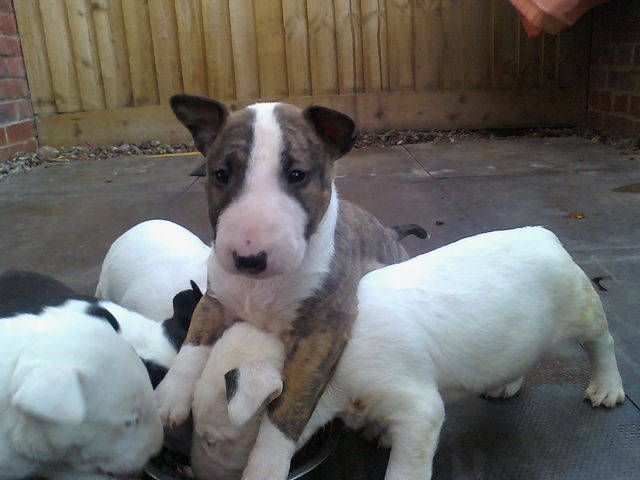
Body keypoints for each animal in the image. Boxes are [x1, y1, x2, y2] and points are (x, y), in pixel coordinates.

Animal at [152, 95, 408, 478]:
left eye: (297, 175)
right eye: (221, 174)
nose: (249, 258)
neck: (259, 288)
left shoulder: (320, 338)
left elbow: (287, 413)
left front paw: (265, 468)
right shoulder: (215, 299)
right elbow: (194, 341)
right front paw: (169, 397)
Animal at [188, 227, 624, 480]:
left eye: (213, 440)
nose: (194, 471)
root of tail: (544, 234)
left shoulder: (417, 406)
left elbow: (408, 461)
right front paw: (376, 431)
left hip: (580, 303)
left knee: (602, 342)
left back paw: (606, 389)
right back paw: (505, 385)